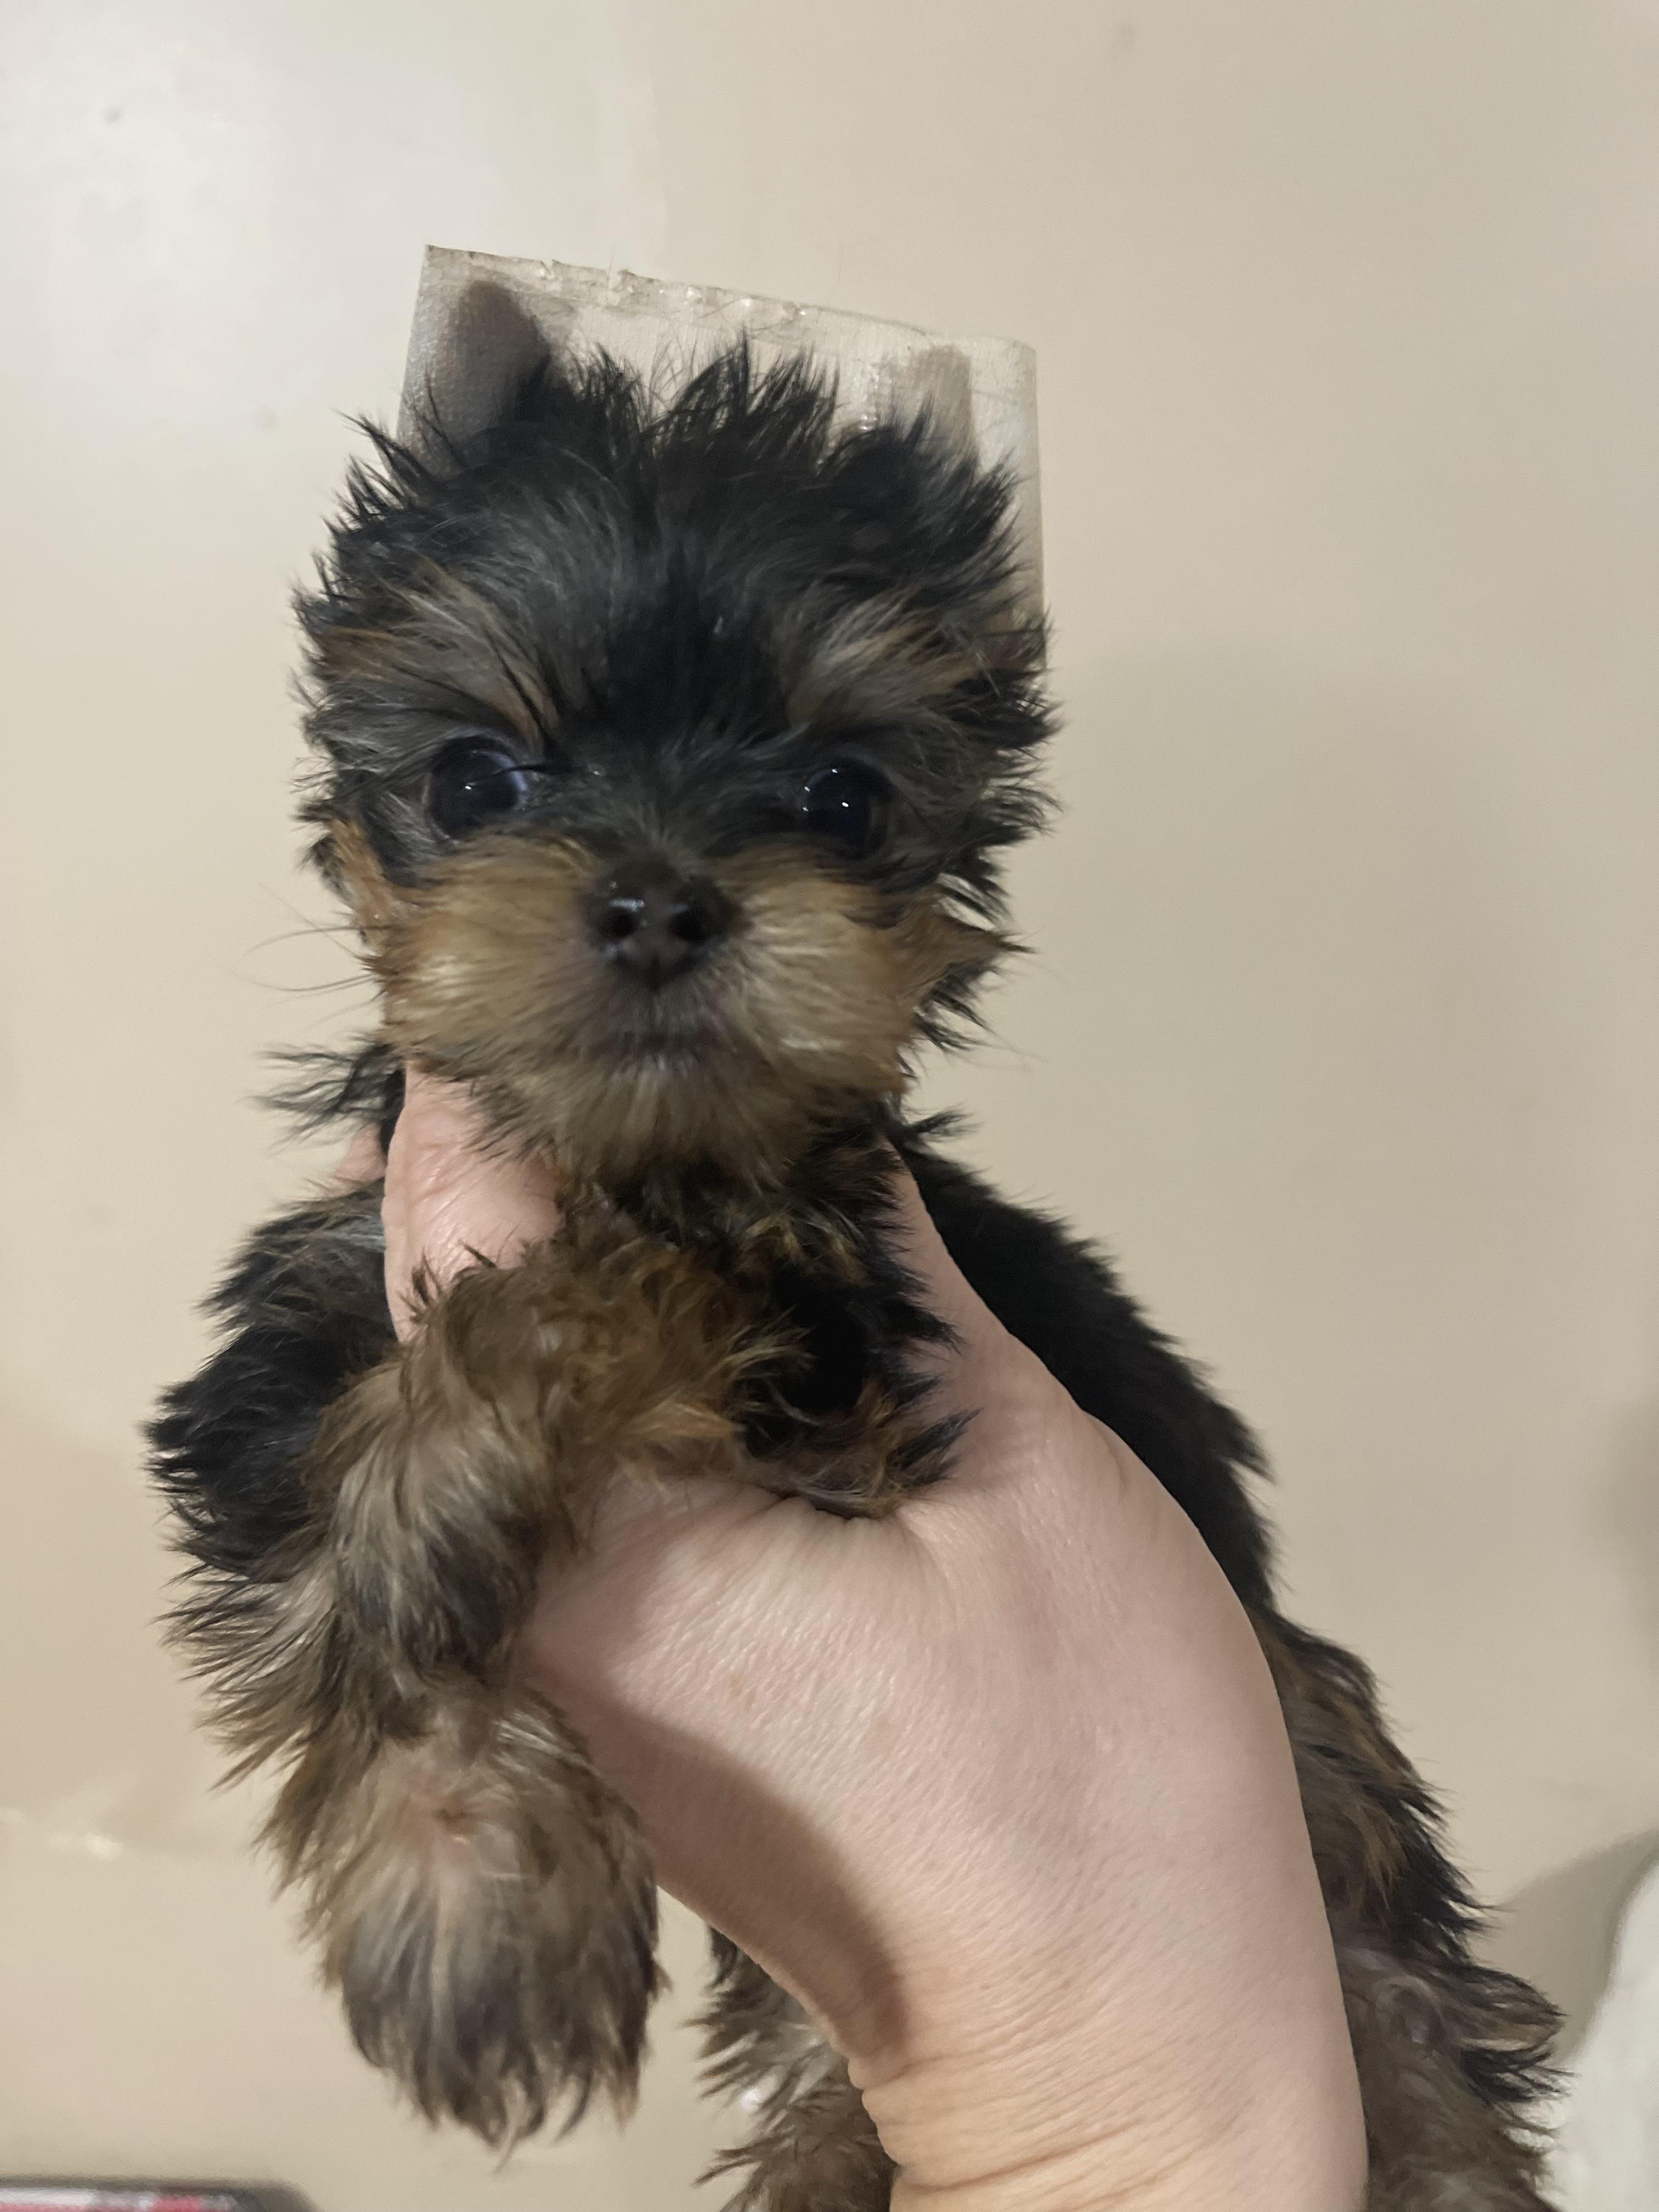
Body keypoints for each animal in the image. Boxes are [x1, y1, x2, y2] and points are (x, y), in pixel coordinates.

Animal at [150, 332, 1558, 2209]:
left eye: (842, 798)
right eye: (474, 780)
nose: (659, 903)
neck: (648, 1156)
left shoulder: (828, 1327)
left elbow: (578, 1307)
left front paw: (428, 1506)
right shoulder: (298, 1323)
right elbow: (321, 1557)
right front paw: (463, 1874)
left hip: (1304, 1714)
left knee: (1384, 1939)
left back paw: (1431, 2140)